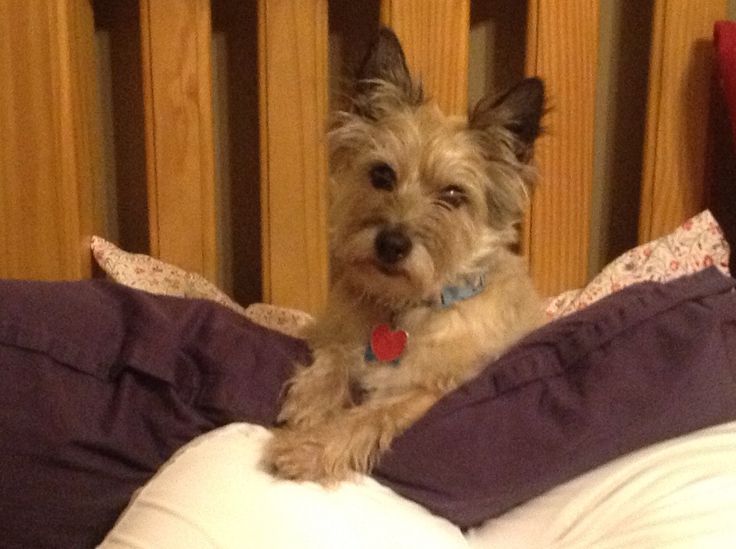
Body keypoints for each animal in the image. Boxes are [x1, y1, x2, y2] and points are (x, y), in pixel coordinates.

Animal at [264, 28, 548, 484]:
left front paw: (309, 448)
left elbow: (372, 415)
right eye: (381, 174)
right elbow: (335, 355)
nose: (391, 244)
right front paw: (311, 401)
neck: (403, 308)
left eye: (453, 194)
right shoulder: (332, 332)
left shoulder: (429, 390)